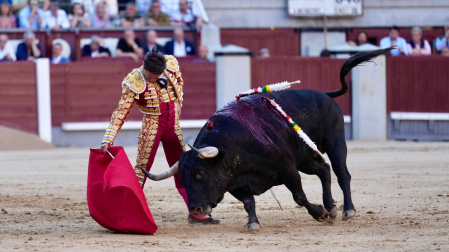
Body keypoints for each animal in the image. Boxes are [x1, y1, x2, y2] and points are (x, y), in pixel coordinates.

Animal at [144, 46, 392, 230]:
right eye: (184, 179)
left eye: (200, 174)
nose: (195, 208)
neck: (235, 148)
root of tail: (324, 94)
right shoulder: (235, 182)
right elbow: (248, 202)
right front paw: (253, 223)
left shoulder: (287, 169)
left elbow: (299, 197)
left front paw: (318, 213)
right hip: (304, 157)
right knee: (324, 170)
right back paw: (331, 207)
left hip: (335, 142)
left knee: (342, 174)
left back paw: (347, 210)